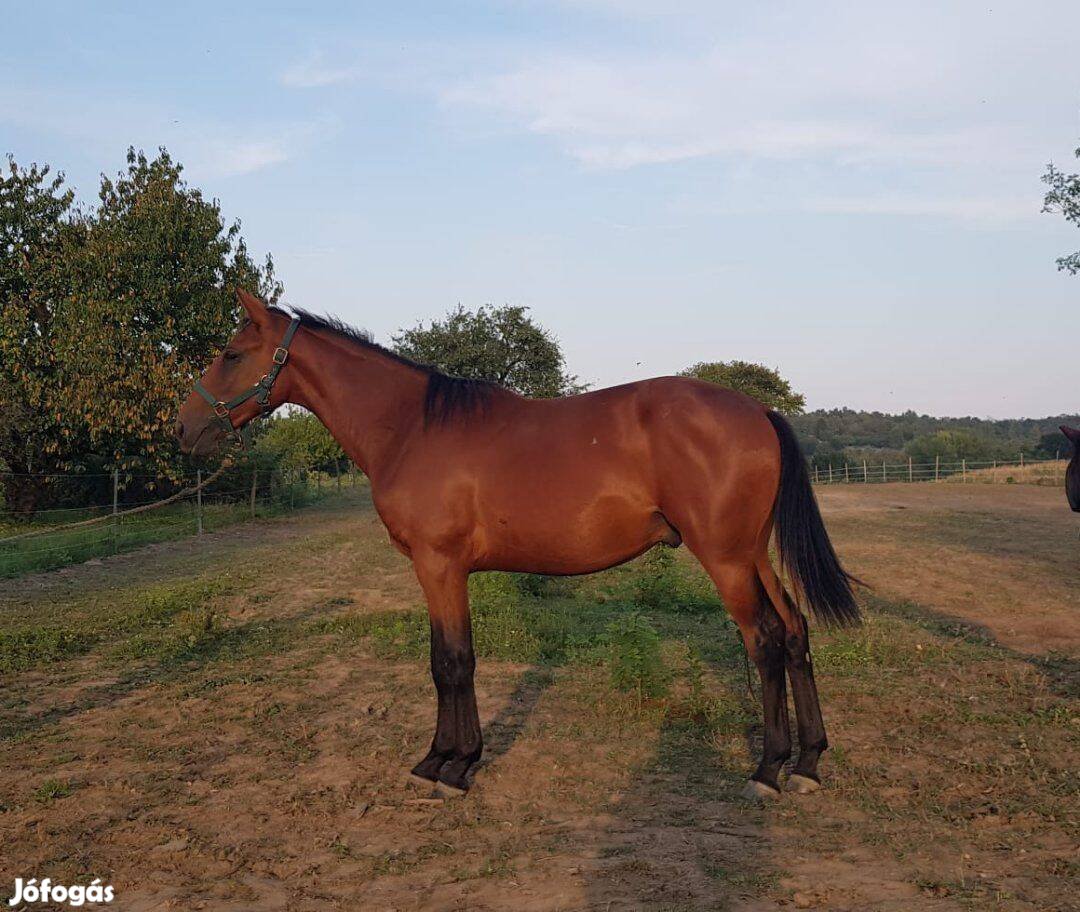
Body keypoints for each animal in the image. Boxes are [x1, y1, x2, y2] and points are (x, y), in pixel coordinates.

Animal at [177, 291, 859, 799]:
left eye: (232, 354)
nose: (185, 429)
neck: (412, 428)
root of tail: (757, 410)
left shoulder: (440, 566)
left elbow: (454, 662)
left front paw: (456, 768)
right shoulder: (435, 571)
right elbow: (442, 661)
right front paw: (437, 759)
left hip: (725, 560)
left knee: (765, 642)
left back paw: (768, 770)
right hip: (754, 554)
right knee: (795, 631)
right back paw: (808, 763)